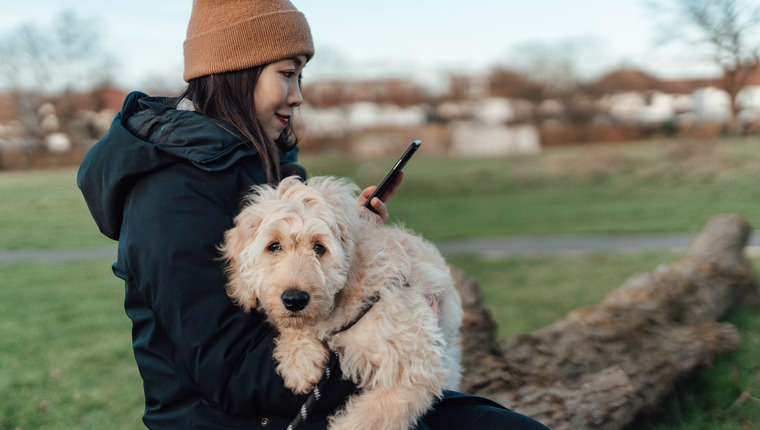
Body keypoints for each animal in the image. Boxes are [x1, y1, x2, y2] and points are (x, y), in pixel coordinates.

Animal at [217, 176, 460, 430]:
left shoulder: (412, 364)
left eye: (319, 248)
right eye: (273, 246)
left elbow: (370, 417)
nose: (294, 300)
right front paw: (300, 361)